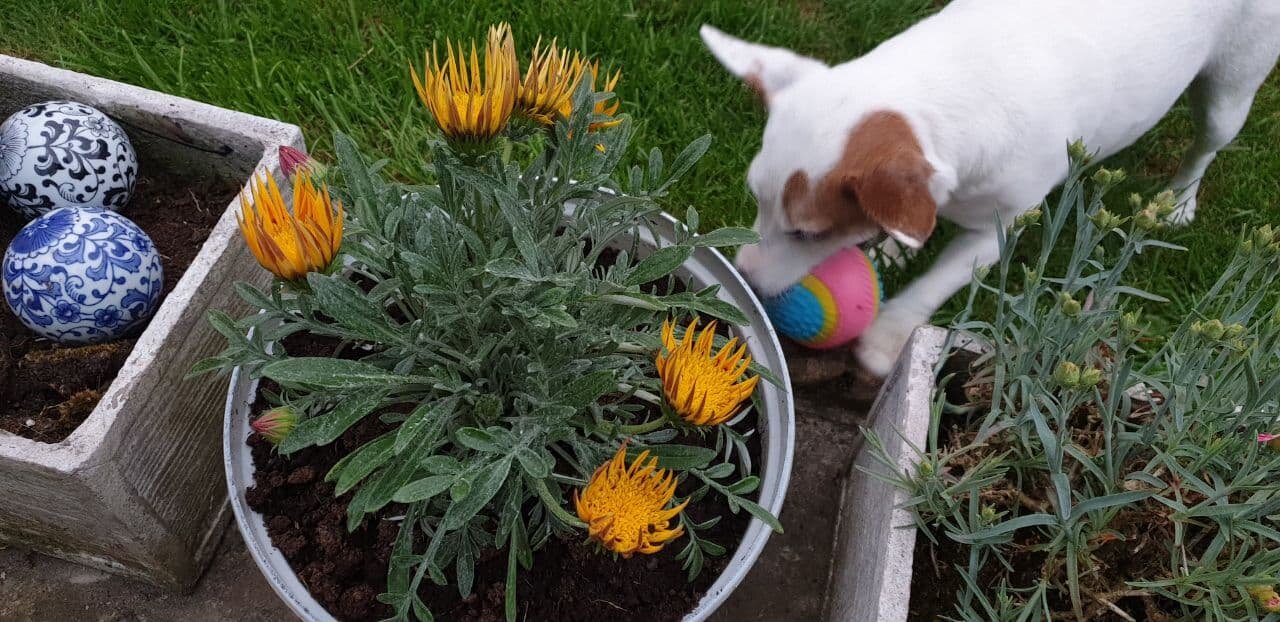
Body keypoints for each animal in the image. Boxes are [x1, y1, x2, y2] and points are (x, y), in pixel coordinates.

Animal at [701, 1, 1280, 373]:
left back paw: (1179, 200)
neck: (940, 89)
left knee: (1207, 141)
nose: (744, 277)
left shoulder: (995, 230)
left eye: (807, 234)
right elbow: (915, 223)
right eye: (755, 201)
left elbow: (937, 282)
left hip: (1230, 90)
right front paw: (891, 249)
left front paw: (886, 338)